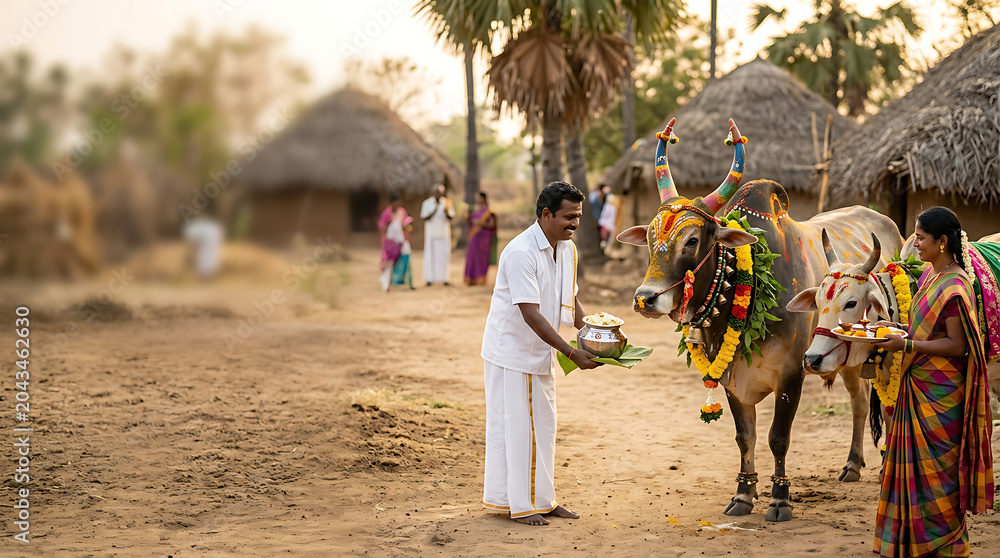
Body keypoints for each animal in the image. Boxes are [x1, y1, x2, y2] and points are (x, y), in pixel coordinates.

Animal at [617, 118, 902, 521]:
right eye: (650, 237)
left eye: (691, 240)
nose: (645, 298)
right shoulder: (731, 377)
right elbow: (745, 437)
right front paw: (743, 494)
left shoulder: (792, 373)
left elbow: (777, 437)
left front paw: (780, 499)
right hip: (845, 358)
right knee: (861, 402)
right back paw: (852, 465)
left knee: (885, 405)